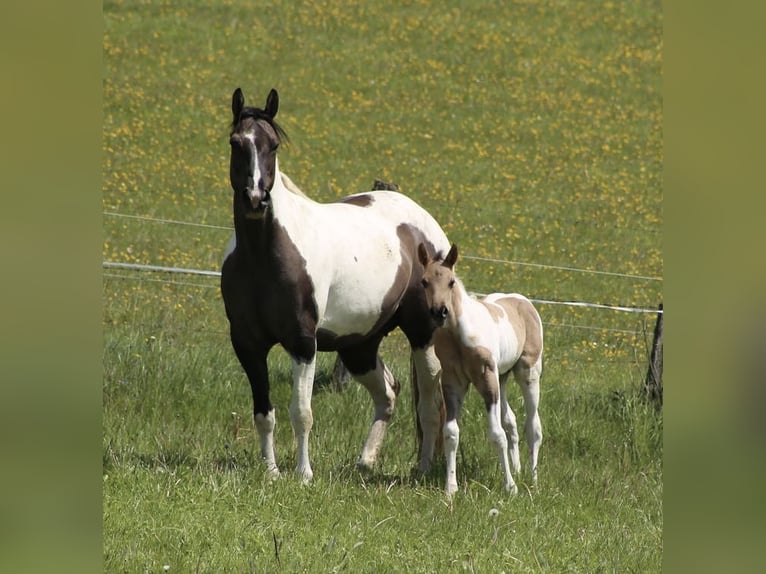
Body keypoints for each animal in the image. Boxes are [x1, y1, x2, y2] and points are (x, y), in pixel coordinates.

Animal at [221, 87, 450, 482]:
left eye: (273, 145)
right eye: (237, 143)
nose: (255, 198)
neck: (263, 255)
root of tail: (425, 227)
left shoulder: (303, 343)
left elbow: (302, 413)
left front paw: (304, 475)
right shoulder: (248, 344)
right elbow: (264, 414)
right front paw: (271, 472)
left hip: (421, 333)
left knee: (429, 401)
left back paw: (422, 469)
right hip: (360, 347)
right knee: (389, 393)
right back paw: (366, 462)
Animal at [417, 242, 543, 495]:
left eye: (451, 281)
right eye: (425, 282)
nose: (439, 312)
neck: (458, 334)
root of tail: (523, 301)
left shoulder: (486, 380)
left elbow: (497, 434)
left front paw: (510, 487)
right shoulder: (453, 383)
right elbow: (451, 432)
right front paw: (451, 488)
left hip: (528, 373)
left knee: (533, 426)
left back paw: (533, 481)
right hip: (502, 376)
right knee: (512, 421)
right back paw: (518, 469)